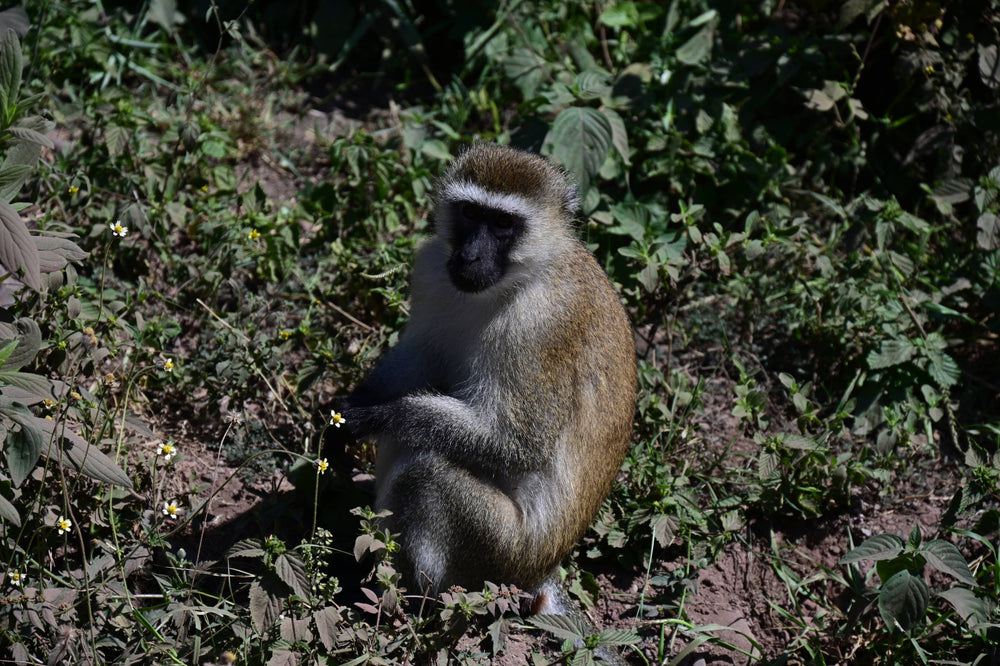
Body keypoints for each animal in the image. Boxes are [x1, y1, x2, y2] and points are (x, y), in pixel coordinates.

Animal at [342, 143, 636, 609]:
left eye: (502, 224)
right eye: (469, 213)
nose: (469, 256)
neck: (522, 277)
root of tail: (539, 572)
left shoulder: (537, 330)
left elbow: (519, 444)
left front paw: (381, 414)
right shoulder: (431, 270)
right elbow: (419, 356)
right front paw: (358, 400)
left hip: (498, 550)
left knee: (426, 469)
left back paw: (406, 595)